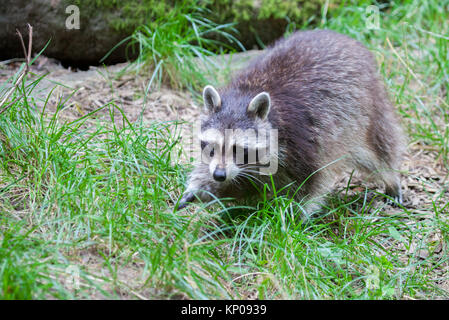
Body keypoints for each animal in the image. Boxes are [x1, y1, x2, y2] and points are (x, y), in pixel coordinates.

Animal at [177, 29, 404, 218]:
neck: (244, 94)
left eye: (239, 149)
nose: (219, 175)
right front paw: (202, 187)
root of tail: (344, 38)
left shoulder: (303, 142)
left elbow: (311, 184)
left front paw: (294, 215)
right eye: (212, 148)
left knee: (380, 148)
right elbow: (240, 184)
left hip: (369, 111)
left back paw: (391, 178)